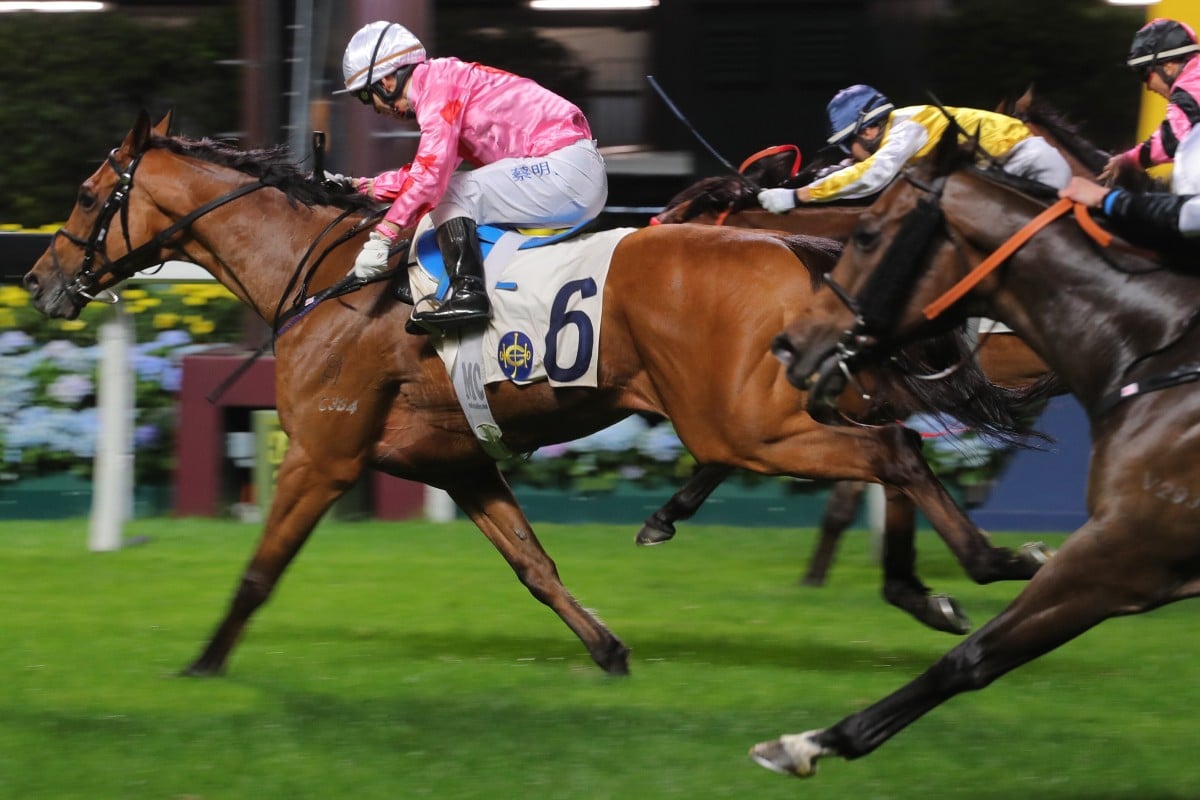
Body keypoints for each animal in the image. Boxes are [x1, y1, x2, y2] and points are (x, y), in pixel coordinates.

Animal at [23, 109, 1046, 681]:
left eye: (89, 195)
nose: (39, 281)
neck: (325, 276)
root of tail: (784, 242)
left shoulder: (322, 452)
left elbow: (259, 571)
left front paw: (202, 663)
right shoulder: (456, 462)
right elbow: (534, 566)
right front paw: (608, 651)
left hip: (740, 420)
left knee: (887, 452)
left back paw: (986, 565)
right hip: (789, 399)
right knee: (893, 446)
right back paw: (945, 582)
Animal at [753, 130, 1200, 777]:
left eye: (868, 235)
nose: (790, 345)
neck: (1156, 350)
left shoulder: (1121, 553)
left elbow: (970, 657)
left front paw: (812, 741)